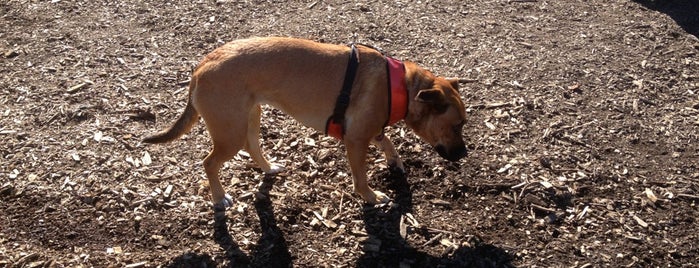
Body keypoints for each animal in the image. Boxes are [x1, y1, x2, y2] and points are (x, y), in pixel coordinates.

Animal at [143, 36, 468, 207]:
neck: (401, 86)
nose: (464, 154)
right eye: (457, 126)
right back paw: (220, 198)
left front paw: (394, 160)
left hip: (249, 117)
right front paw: (371, 196)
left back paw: (268, 168)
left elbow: (386, 139)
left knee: (252, 146)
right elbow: (361, 176)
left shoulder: (368, 129)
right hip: (229, 132)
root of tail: (201, 66)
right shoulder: (356, 140)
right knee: (209, 162)